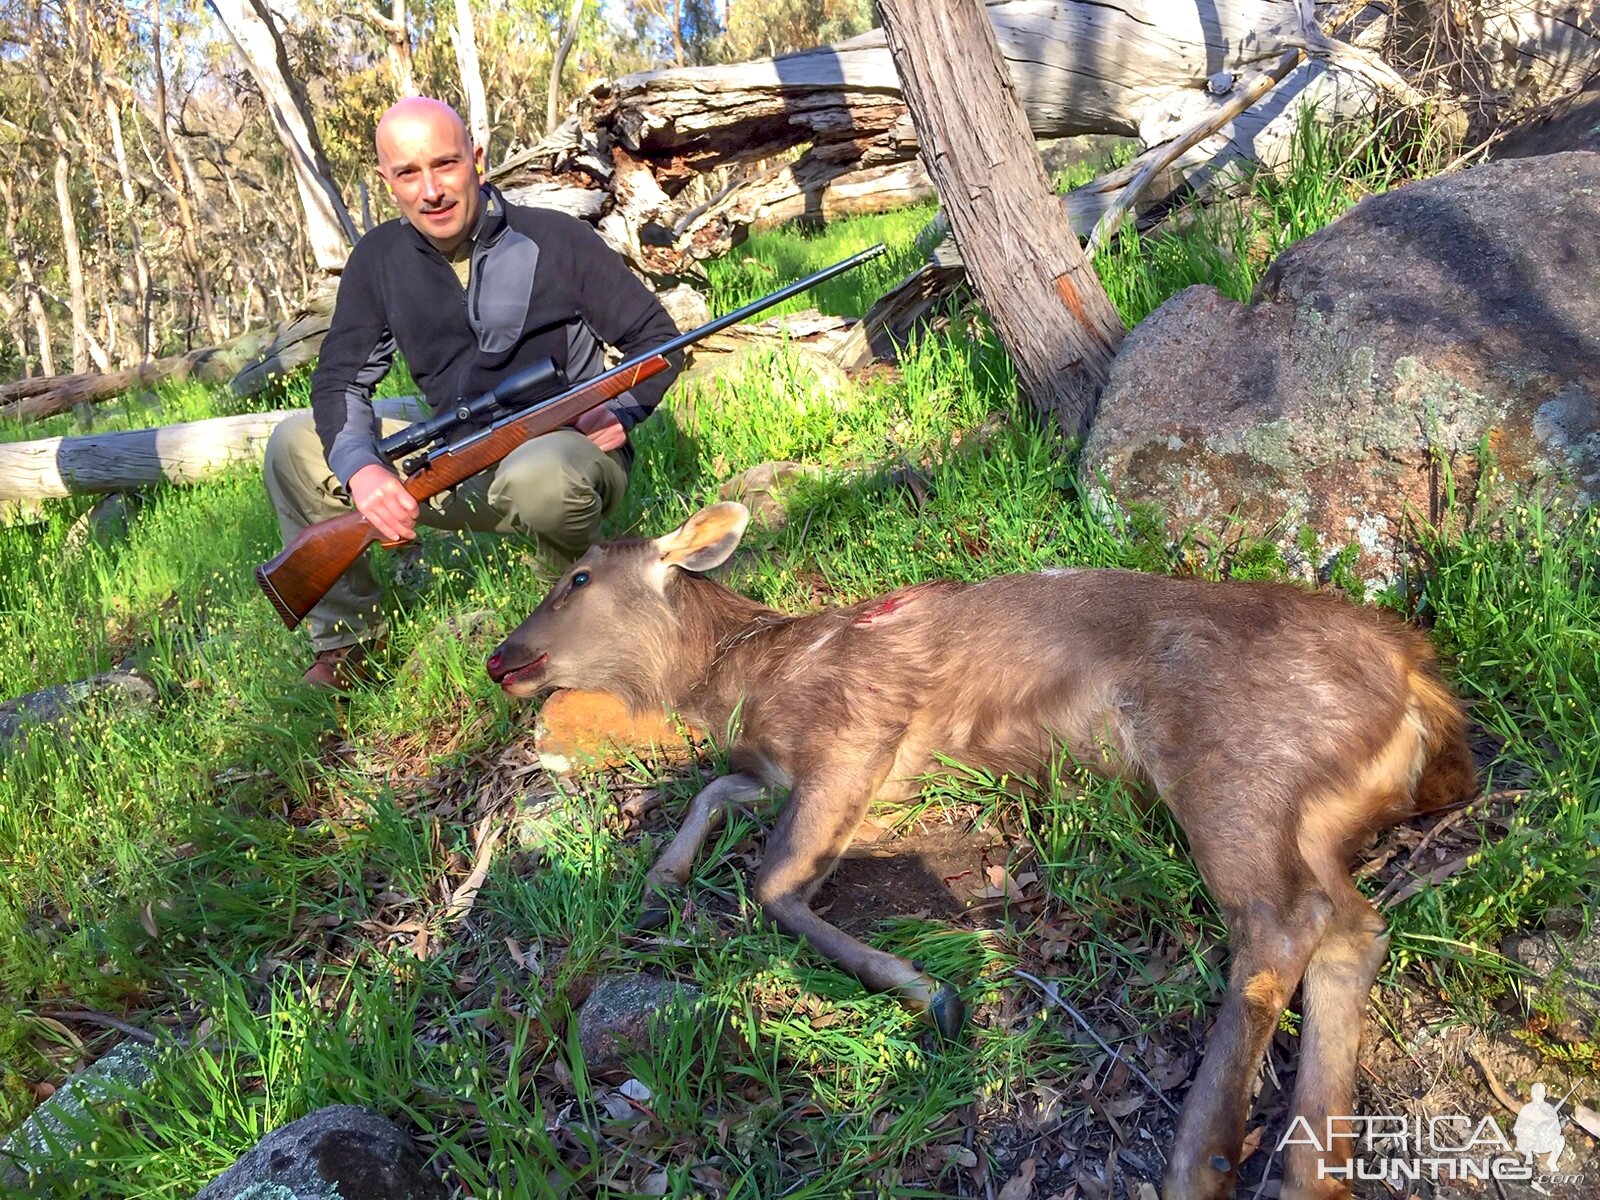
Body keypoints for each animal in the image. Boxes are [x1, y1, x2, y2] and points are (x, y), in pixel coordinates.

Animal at [483, 502, 1472, 1196]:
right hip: (1314, 808)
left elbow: (770, 883)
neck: (739, 680)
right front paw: (661, 874)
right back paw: (1311, 1173)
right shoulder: (800, 772)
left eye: (576, 577)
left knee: (1280, 923)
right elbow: (716, 792)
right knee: (1353, 926)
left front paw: (929, 991)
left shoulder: (856, 737)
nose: (500, 658)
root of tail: (1421, 682)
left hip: (1230, 755)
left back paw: (1200, 1161)